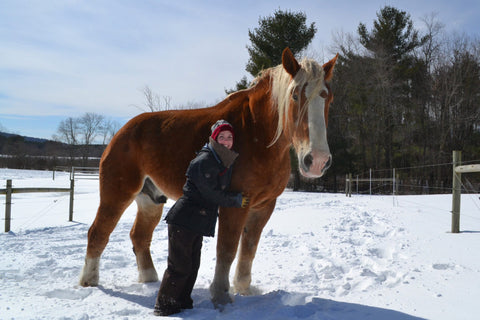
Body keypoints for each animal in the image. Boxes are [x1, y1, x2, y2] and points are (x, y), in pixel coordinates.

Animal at [79, 47, 338, 304]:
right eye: (294, 95)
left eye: (328, 98)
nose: (317, 160)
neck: (257, 135)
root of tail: (121, 132)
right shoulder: (234, 204)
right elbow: (227, 248)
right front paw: (221, 294)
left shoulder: (264, 206)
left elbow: (249, 248)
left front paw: (244, 288)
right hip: (117, 194)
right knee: (98, 232)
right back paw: (89, 281)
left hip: (150, 200)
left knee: (139, 236)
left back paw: (149, 278)